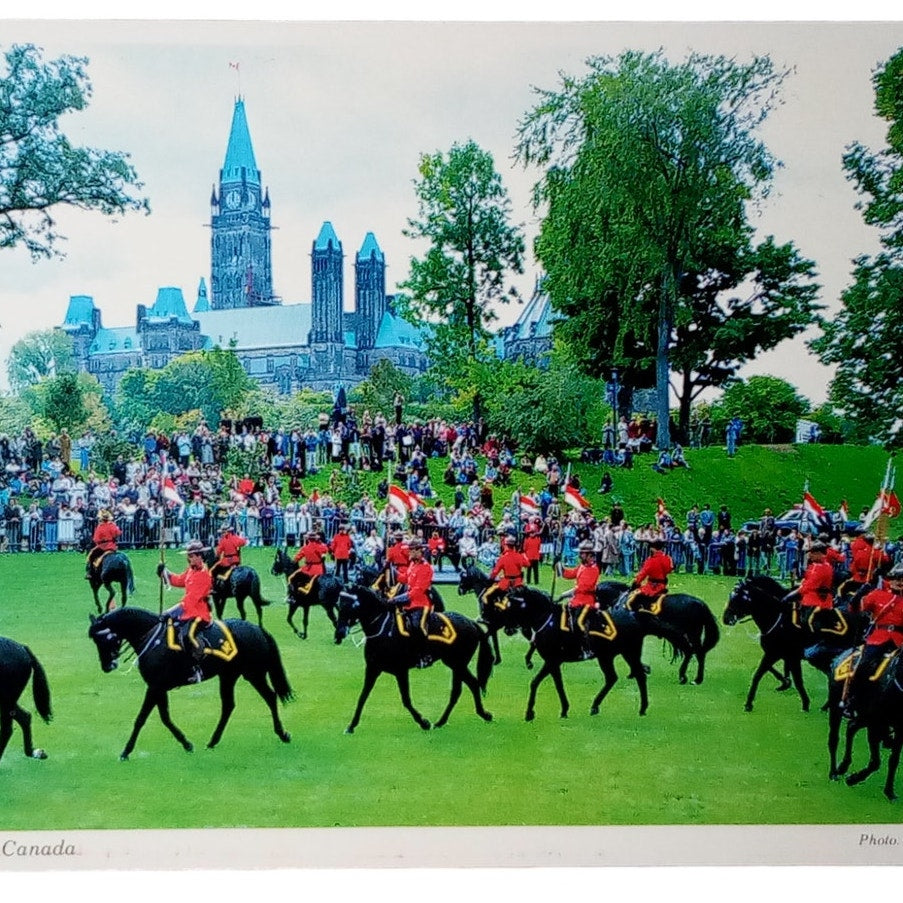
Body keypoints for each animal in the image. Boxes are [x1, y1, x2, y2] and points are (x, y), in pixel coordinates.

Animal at [0, 640, 52, 768]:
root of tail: (23, 648)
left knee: (8, 729)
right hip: (8, 700)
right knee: (25, 717)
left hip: (6, 700)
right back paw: (34, 752)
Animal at [87, 604, 294, 760]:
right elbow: (165, 717)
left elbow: (141, 719)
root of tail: (257, 628)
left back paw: (282, 733)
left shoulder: (154, 687)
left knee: (270, 697)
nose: (107, 666)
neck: (152, 638)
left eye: (103, 638)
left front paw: (126, 751)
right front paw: (186, 743)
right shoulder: (159, 688)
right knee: (229, 705)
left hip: (254, 674)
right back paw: (213, 741)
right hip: (228, 676)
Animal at [336, 588, 494, 736]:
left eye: (352, 605)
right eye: (339, 605)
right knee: (468, 686)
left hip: (457, 663)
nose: (339, 633)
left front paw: (423, 722)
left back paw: (476, 716)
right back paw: (448, 721)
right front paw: (351, 726)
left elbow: (406, 699)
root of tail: (470, 622)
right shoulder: (372, 669)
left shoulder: (400, 670)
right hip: (455, 664)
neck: (383, 629)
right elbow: (362, 696)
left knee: (466, 687)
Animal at [494, 588, 692, 720]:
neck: (548, 620)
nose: (508, 630)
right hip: (609, 656)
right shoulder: (555, 663)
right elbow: (558, 685)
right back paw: (598, 706)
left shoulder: (550, 660)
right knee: (615, 677)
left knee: (638, 676)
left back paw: (641, 708)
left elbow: (535, 682)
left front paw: (529, 713)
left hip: (628, 653)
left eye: (510, 605)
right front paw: (564, 709)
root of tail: (635, 615)